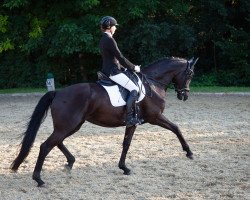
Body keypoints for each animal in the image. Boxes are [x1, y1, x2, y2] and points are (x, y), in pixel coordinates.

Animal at [10, 55, 199, 186]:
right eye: (190, 74)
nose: (184, 95)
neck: (152, 84)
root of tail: (58, 92)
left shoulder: (133, 123)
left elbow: (126, 144)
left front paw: (124, 168)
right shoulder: (155, 117)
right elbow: (176, 128)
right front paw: (189, 152)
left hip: (72, 125)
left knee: (57, 141)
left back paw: (70, 163)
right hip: (68, 125)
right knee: (46, 145)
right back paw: (39, 179)